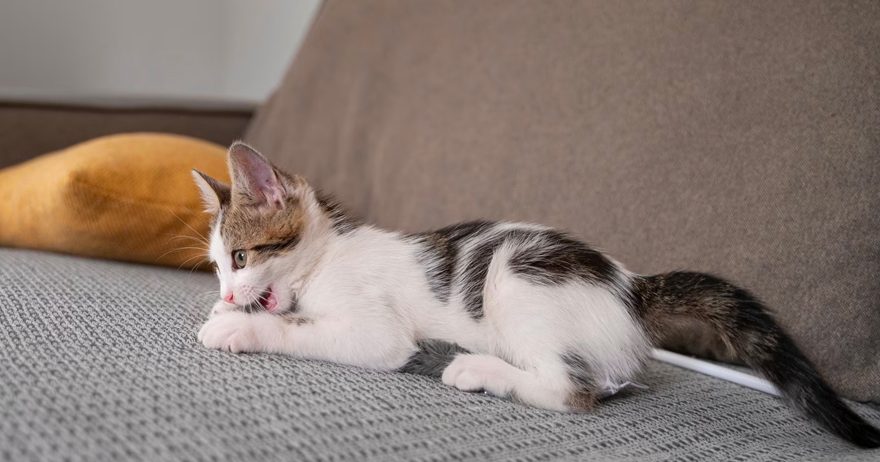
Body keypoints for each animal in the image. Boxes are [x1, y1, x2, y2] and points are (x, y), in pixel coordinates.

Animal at [194, 142, 880, 448]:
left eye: (240, 258)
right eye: (217, 270)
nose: (226, 295)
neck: (328, 256)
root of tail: (630, 286)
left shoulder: (374, 329)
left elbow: (309, 330)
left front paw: (236, 328)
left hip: (515, 277)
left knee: (572, 390)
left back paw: (476, 369)